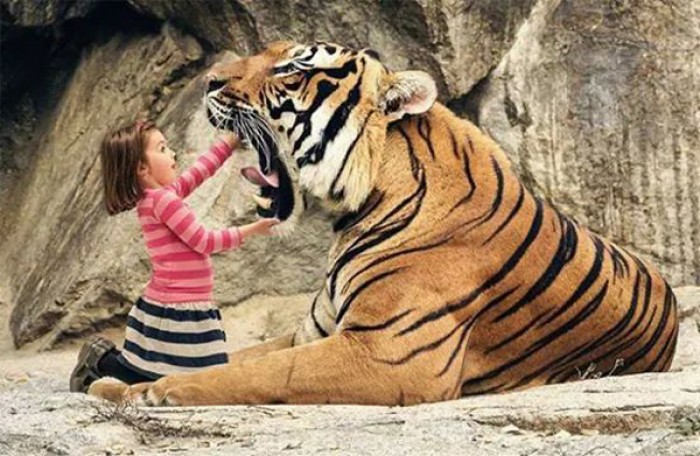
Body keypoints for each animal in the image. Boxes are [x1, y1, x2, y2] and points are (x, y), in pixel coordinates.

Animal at [89, 41, 680, 406]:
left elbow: (251, 371)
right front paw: (112, 383)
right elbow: (232, 357)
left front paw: (145, 391)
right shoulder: (313, 331)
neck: (356, 208)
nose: (210, 81)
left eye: (290, 69)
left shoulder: (389, 352)